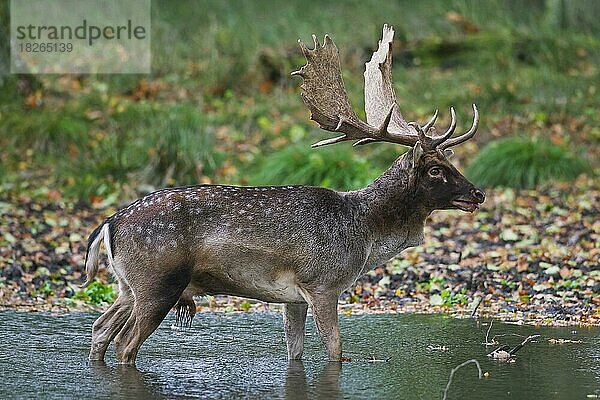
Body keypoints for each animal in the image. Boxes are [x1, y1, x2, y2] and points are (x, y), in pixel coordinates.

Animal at [84, 23, 486, 364]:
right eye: (436, 170)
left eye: (448, 162)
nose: (478, 193)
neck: (365, 234)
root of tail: (109, 224)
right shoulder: (322, 282)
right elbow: (336, 351)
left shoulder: (293, 297)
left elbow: (295, 351)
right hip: (158, 281)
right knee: (125, 344)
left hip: (126, 285)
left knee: (100, 328)